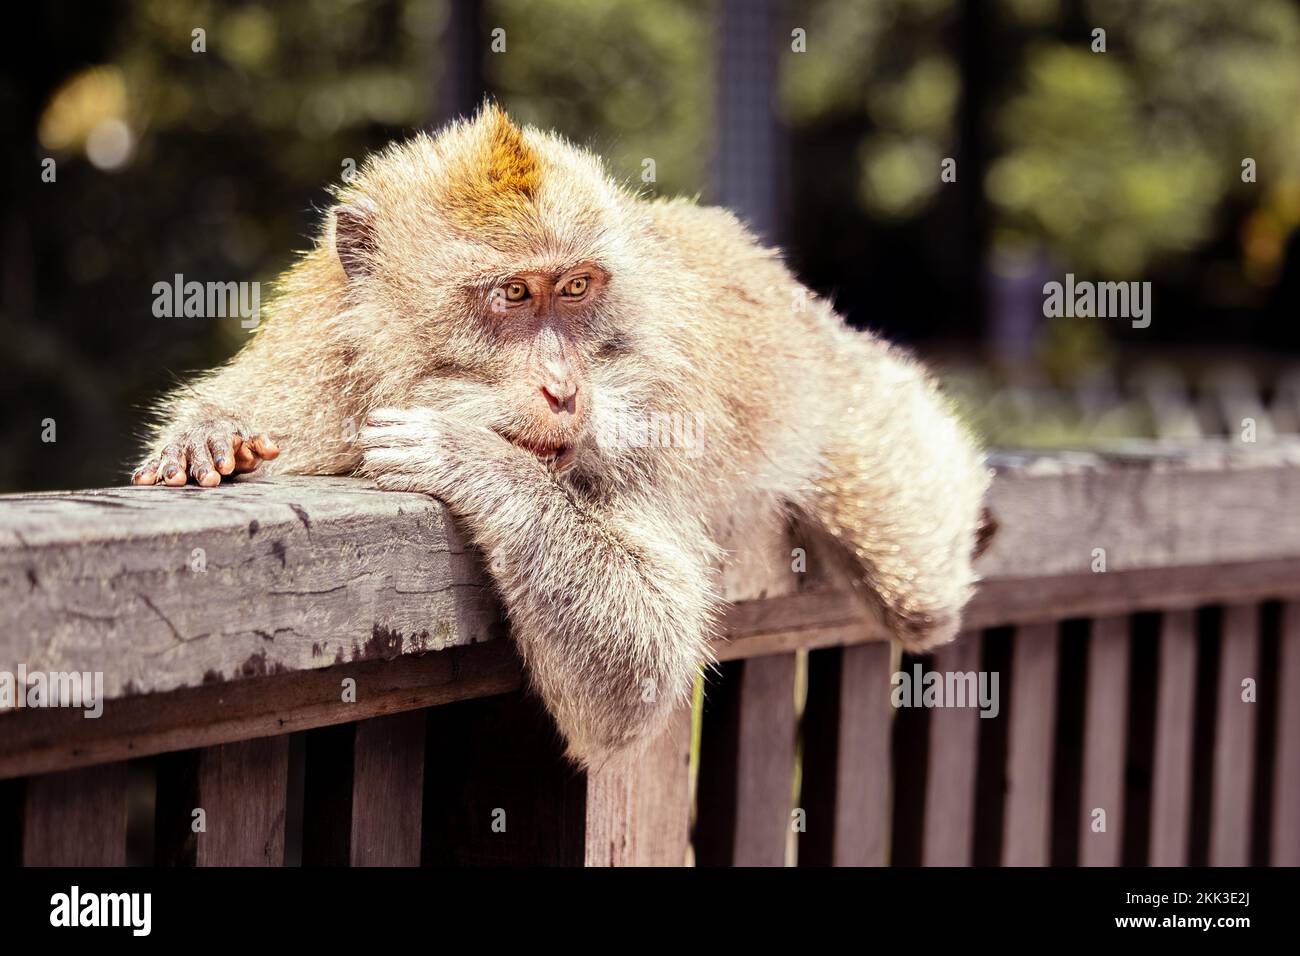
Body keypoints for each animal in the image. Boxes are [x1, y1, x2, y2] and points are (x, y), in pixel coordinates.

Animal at [131, 102, 987, 770]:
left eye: (575, 288)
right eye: (514, 294)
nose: (563, 389)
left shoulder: (654, 409)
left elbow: (642, 664)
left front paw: (472, 458)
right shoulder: (311, 373)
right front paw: (210, 431)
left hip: (858, 400)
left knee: (916, 592)